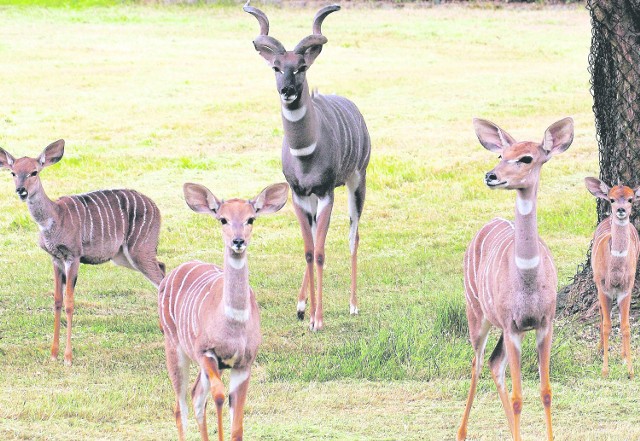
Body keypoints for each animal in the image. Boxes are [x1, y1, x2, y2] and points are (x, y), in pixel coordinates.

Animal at [0, 140, 165, 364]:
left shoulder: (73, 256)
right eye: (13, 173)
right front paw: (53, 354)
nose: (21, 190)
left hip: (140, 250)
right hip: (123, 256)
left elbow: (70, 302)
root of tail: (156, 207)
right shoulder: (55, 259)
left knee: (161, 277)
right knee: (163, 268)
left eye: (34, 172)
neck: (54, 217)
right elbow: (57, 301)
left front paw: (68, 358)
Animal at [159, 180, 288, 438]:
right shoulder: (207, 353)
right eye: (223, 219)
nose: (238, 241)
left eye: (251, 219)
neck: (234, 323)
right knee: (181, 406)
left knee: (196, 395)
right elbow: (218, 395)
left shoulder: (244, 364)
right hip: (174, 348)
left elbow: (236, 425)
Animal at [244, 0, 370, 330]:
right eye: (276, 67)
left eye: (300, 67)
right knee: (315, 241)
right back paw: (302, 306)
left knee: (353, 235)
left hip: (358, 180)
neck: (305, 154)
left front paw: (318, 320)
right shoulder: (299, 194)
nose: (286, 90)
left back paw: (353, 305)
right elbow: (309, 251)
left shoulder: (327, 191)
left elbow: (322, 252)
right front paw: (306, 312)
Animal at [458, 117, 572, 440]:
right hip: (476, 313)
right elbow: (519, 396)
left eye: (527, 158)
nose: (491, 176)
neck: (528, 278)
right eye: (500, 154)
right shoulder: (512, 326)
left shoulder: (543, 323)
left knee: (494, 363)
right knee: (478, 362)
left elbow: (545, 391)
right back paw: (461, 432)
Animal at [584, 177, 640, 376]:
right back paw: (600, 349)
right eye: (612, 199)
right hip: (596, 282)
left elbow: (625, 326)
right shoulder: (603, 287)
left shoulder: (627, 287)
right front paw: (605, 370)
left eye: (630, 199)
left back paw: (622, 355)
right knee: (602, 315)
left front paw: (630, 370)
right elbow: (607, 325)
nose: (621, 210)